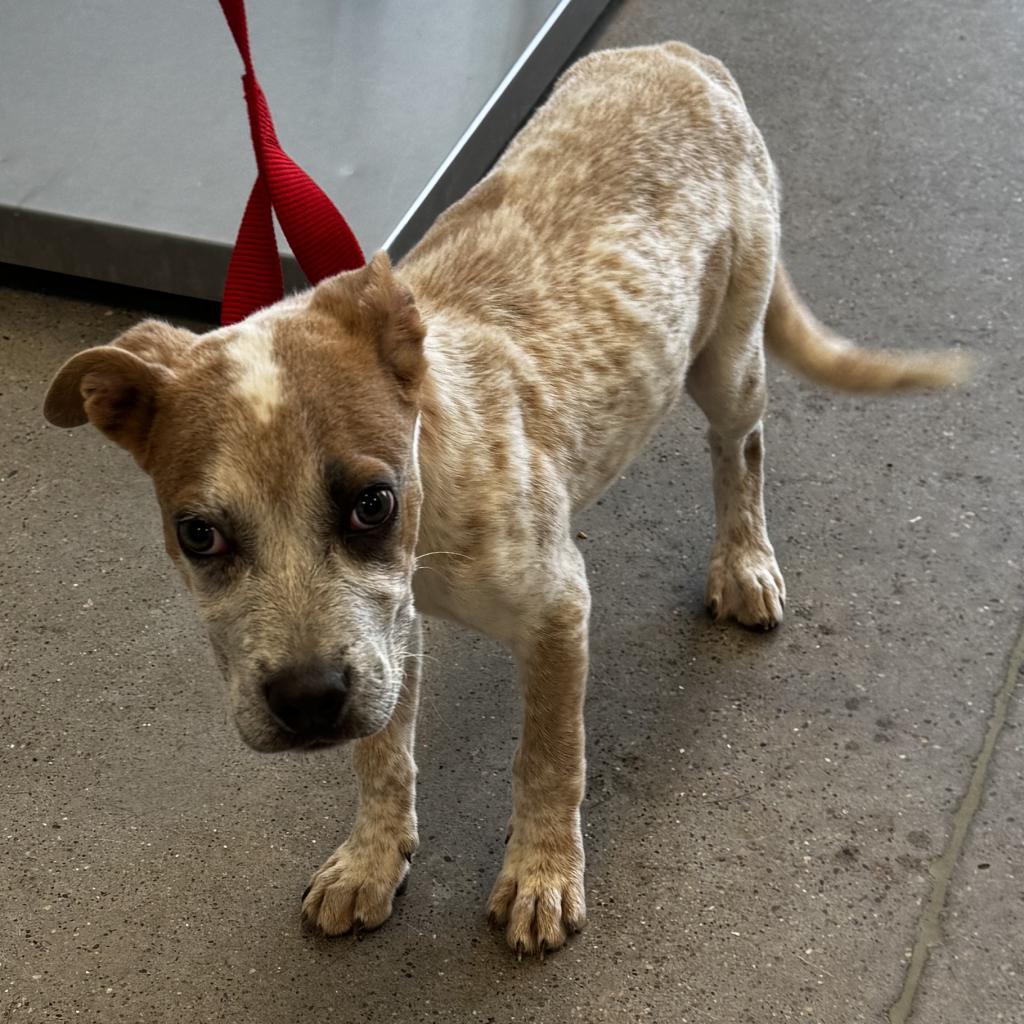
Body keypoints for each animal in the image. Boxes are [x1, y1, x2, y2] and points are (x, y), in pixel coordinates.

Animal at [44, 46, 962, 958]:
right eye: (198, 534)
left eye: (372, 503)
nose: (307, 702)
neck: (433, 489)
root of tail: (679, 54)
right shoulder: (387, 635)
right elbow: (382, 755)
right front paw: (372, 859)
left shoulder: (556, 609)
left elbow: (549, 757)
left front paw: (542, 874)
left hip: (729, 360)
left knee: (741, 451)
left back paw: (742, 563)